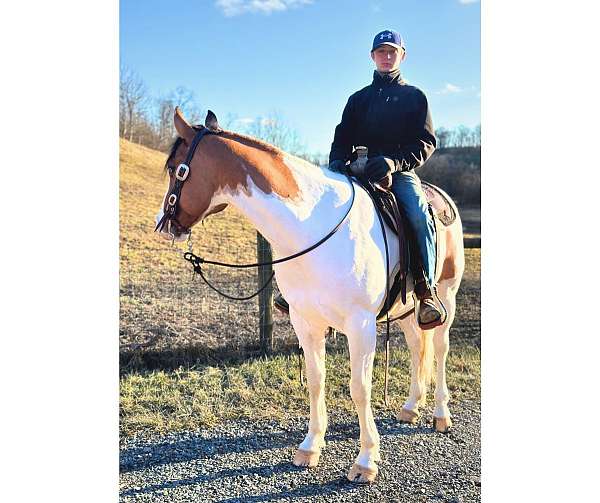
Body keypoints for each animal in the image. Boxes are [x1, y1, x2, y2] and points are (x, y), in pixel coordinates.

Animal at [154, 107, 464, 484]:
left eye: (175, 168)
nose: (163, 224)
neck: (312, 227)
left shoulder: (361, 325)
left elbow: (359, 388)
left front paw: (365, 460)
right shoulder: (305, 322)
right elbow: (316, 381)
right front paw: (310, 446)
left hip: (446, 297)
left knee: (440, 349)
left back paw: (440, 414)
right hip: (404, 311)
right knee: (418, 347)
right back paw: (410, 407)